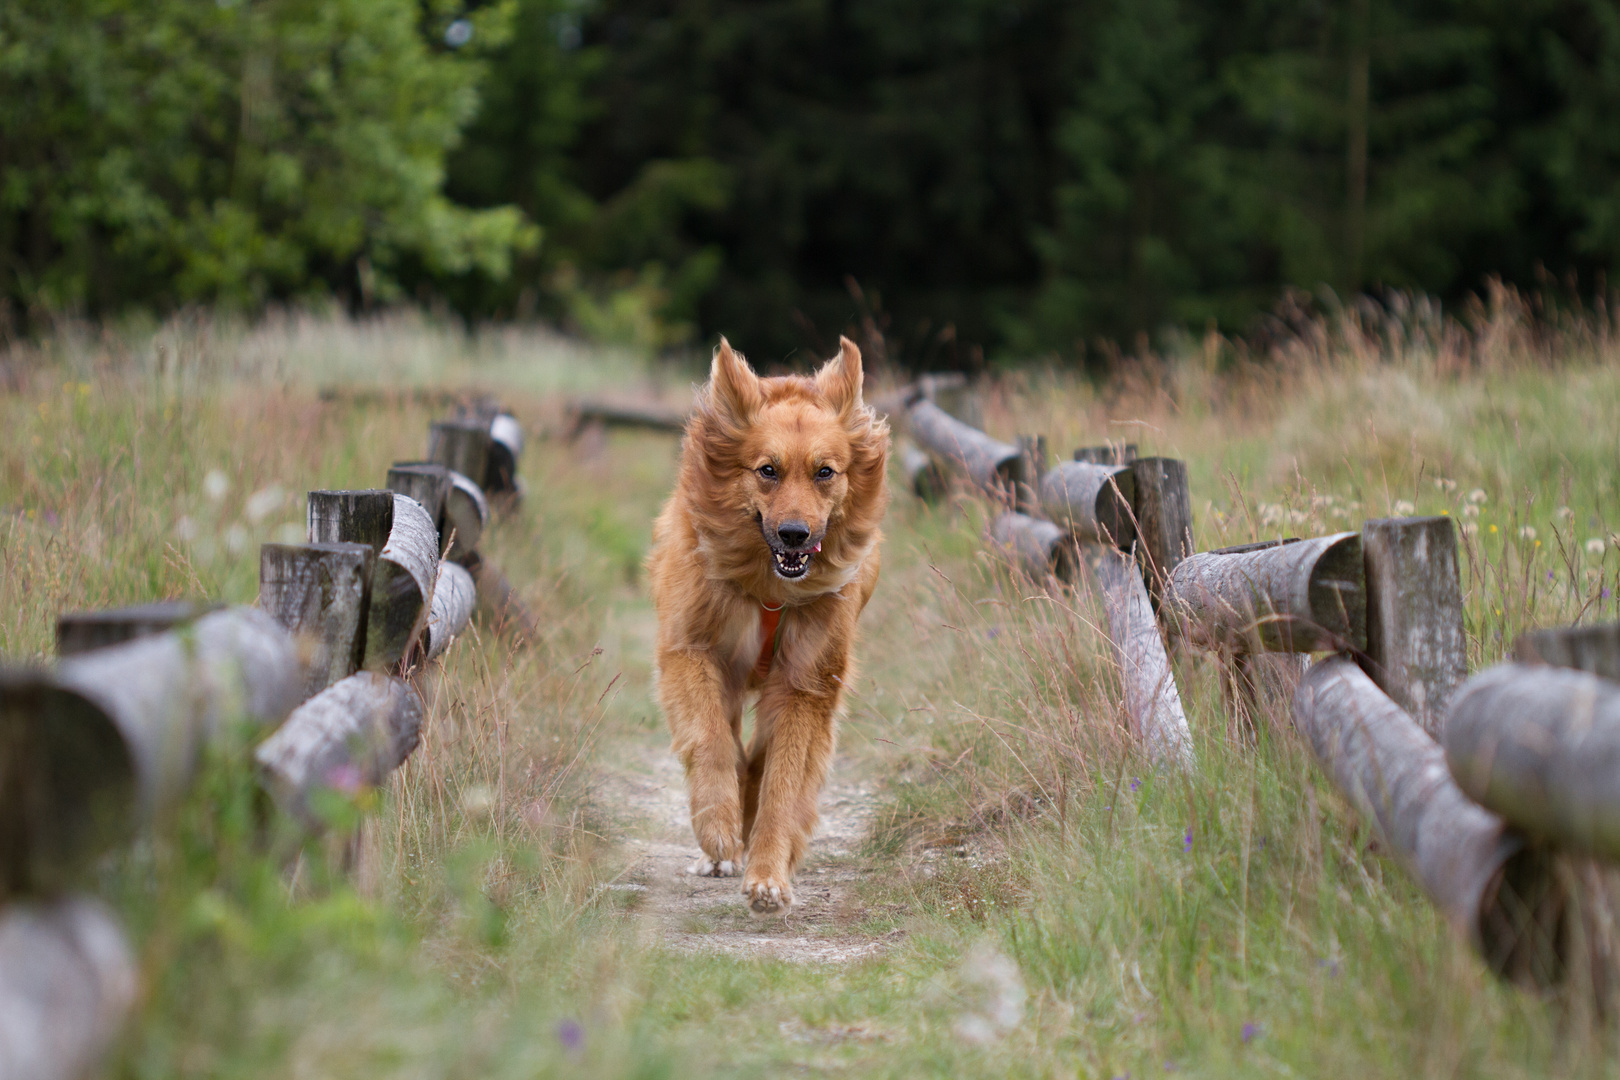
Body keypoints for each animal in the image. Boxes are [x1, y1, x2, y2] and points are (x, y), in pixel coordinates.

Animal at [648, 335, 894, 913]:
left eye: (825, 472)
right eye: (767, 470)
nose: (795, 534)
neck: (771, 590)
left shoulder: (805, 684)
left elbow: (782, 783)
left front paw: (768, 875)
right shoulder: (691, 651)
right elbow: (712, 742)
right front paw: (717, 829)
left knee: (764, 764)